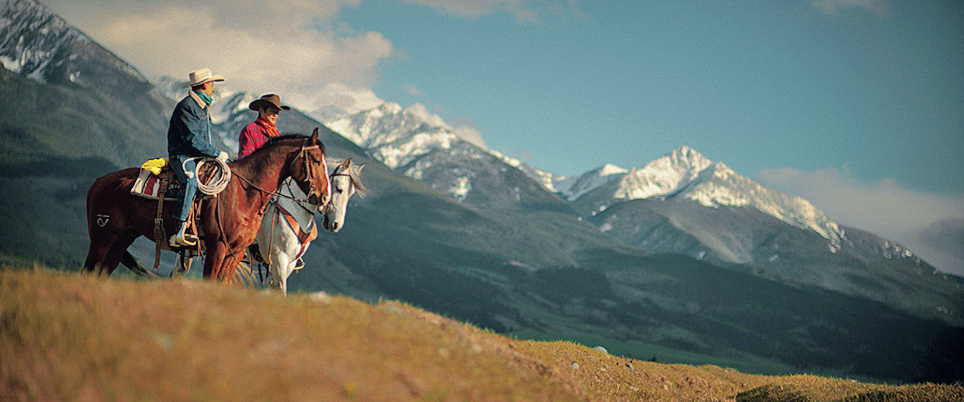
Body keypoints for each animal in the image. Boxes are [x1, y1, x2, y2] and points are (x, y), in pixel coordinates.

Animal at [83, 130, 332, 282]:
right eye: (316, 160)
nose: (324, 198)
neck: (245, 193)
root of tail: (100, 181)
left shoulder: (236, 251)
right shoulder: (218, 246)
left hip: (122, 238)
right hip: (102, 237)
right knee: (89, 270)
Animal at [256, 157, 366, 292]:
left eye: (351, 194)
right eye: (339, 189)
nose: (337, 224)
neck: (295, 208)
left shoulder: (290, 262)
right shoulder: (279, 257)